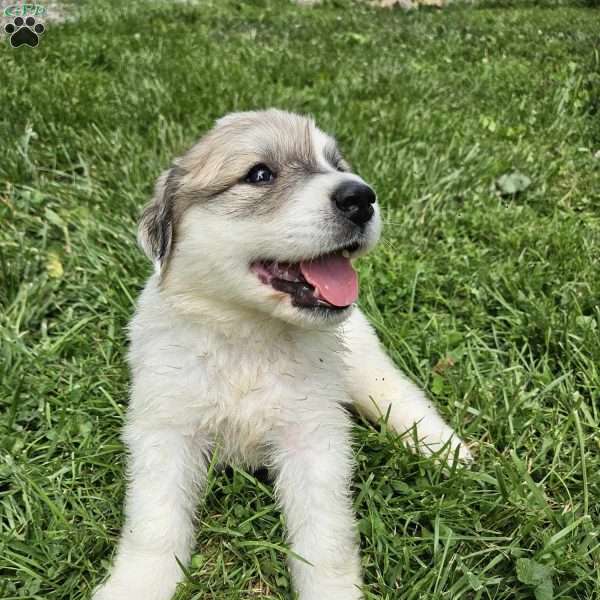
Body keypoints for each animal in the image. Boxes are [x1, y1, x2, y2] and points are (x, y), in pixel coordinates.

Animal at [94, 109, 472, 600]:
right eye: (260, 174)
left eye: (336, 164)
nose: (361, 197)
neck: (248, 336)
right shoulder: (165, 430)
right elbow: (154, 523)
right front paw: (136, 584)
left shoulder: (313, 440)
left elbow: (324, 540)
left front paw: (333, 593)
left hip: (366, 365)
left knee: (402, 397)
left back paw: (446, 450)